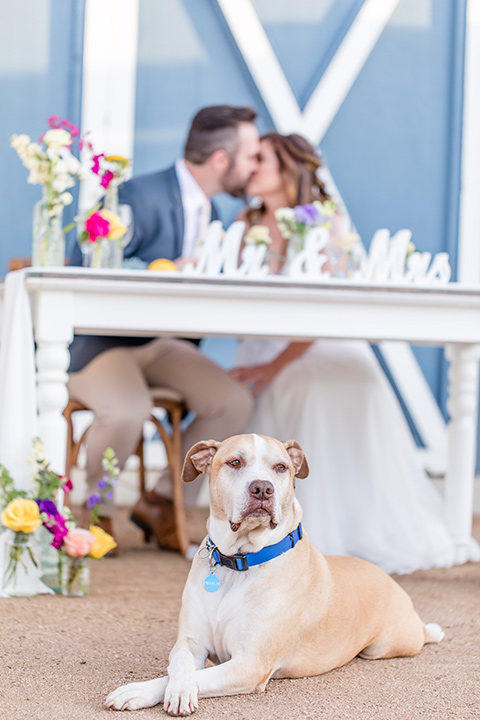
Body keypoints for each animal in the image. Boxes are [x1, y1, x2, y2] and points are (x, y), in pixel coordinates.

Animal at [107, 434, 444, 716]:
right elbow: (180, 665)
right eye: (235, 462)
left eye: (281, 467)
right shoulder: (191, 641)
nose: (262, 488)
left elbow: (198, 676)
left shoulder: (250, 664)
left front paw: (165, 692)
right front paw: (151, 689)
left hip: (385, 646)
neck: (238, 562)